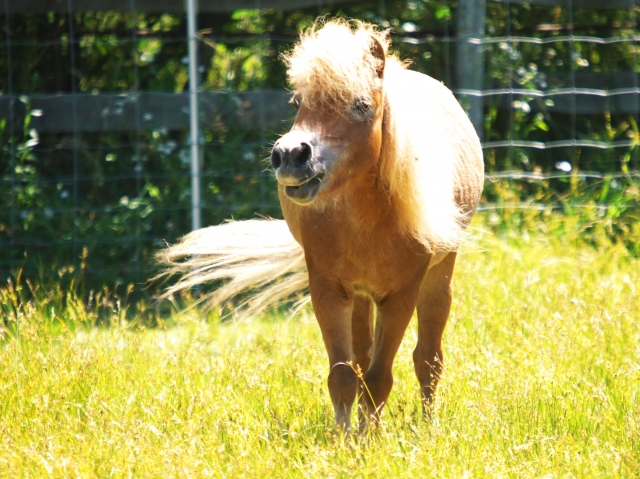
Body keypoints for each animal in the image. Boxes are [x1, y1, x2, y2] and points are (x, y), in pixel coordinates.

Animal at [158, 18, 482, 434]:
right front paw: (347, 439)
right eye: (298, 104)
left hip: (438, 276)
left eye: (361, 106)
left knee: (428, 358)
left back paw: (427, 426)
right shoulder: (329, 289)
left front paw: (368, 439)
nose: (290, 156)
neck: (368, 221)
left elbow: (381, 377)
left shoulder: (400, 295)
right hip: (361, 296)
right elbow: (344, 376)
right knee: (364, 358)